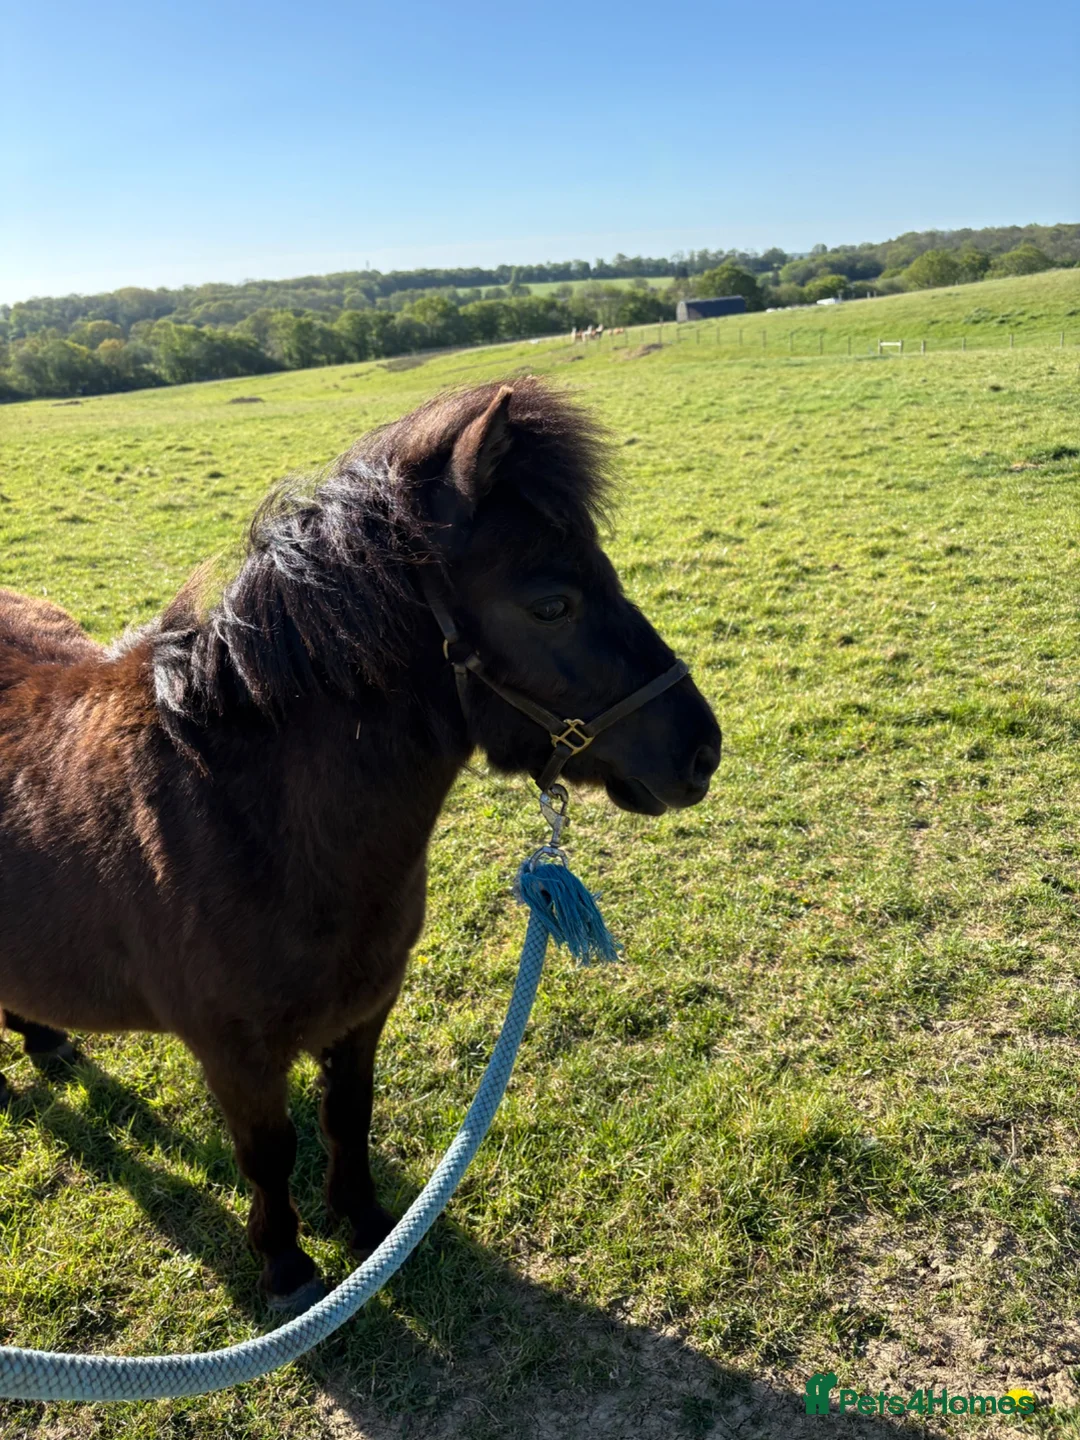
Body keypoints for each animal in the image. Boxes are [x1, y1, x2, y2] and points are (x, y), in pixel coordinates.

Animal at [0, 379, 721, 1311]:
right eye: (551, 603)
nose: (702, 752)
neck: (243, 824)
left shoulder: (364, 1010)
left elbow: (349, 1115)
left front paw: (366, 1225)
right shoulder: (233, 1050)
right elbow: (268, 1152)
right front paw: (286, 1266)